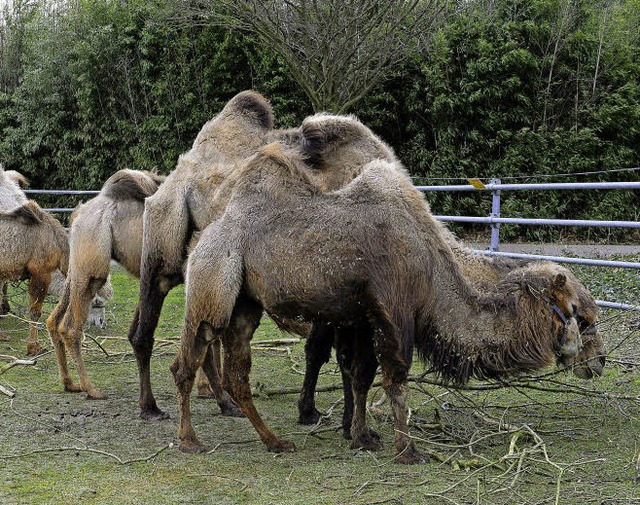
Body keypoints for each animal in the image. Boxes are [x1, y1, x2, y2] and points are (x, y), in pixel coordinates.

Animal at [45, 171, 165, 400]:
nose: (100, 322)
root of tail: (78, 214)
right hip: (92, 268)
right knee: (70, 327)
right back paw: (90, 389)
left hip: (77, 268)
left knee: (53, 319)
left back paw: (70, 383)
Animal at [172, 144, 584, 462]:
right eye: (572, 310)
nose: (580, 352)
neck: (430, 265)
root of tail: (203, 238)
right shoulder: (393, 310)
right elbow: (395, 379)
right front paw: (407, 450)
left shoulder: (363, 316)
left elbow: (361, 377)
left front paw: (362, 437)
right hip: (213, 277)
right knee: (189, 358)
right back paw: (190, 440)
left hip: (246, 302)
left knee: (237, 373)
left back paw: (275, 441)